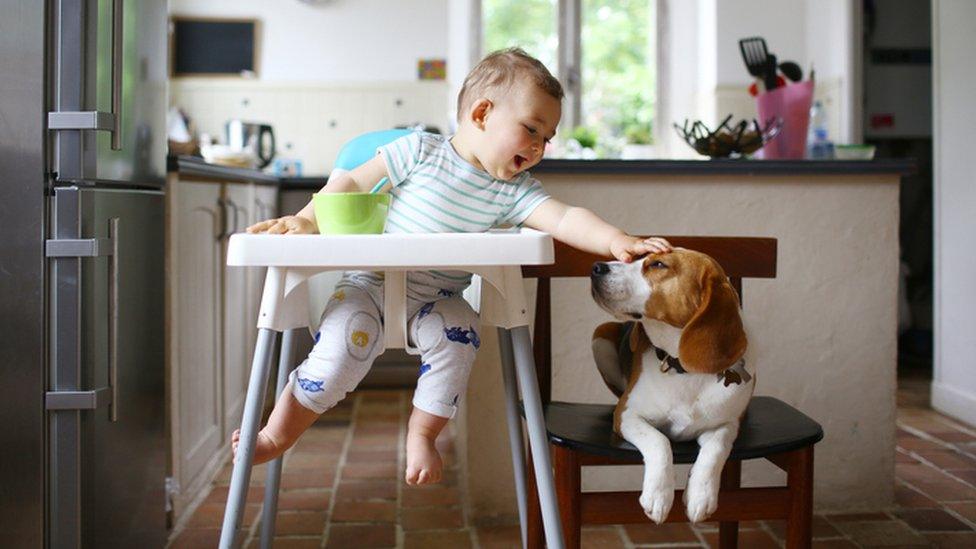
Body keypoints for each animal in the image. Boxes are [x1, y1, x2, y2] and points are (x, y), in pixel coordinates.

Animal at [592, 248, 752, 524]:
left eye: (658, 264)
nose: (596, 268)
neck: (684, 370)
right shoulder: (627, 414)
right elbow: (659, 441)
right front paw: (658, 494)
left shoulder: (727, 424)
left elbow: (716, 449)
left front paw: (702, 494)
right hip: (600, 337)